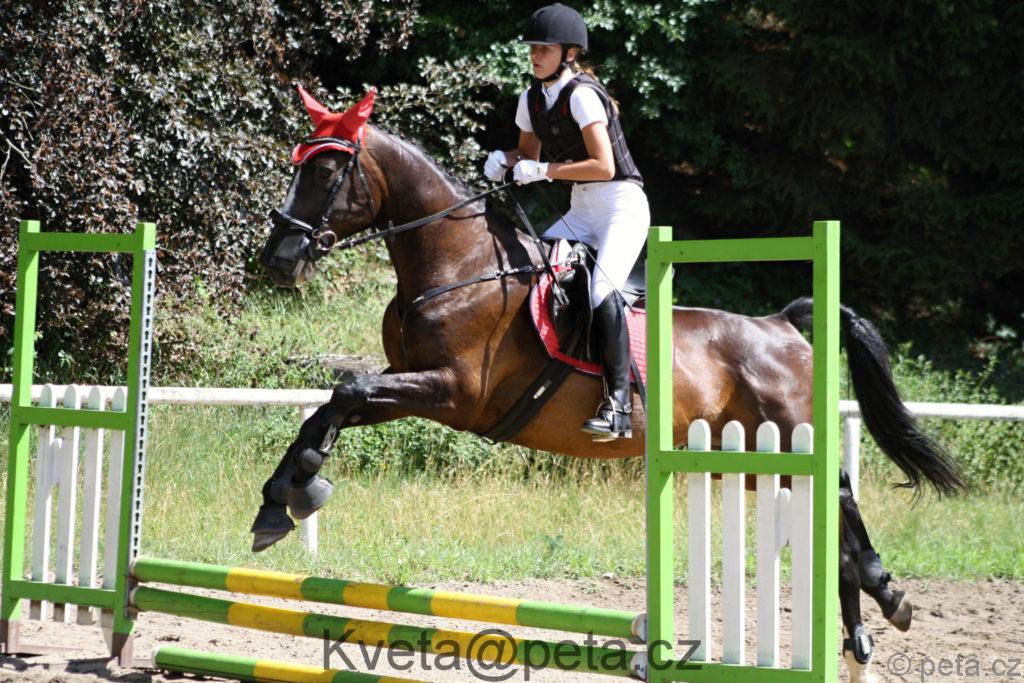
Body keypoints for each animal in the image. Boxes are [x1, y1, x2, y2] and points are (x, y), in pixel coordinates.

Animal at [256, 90, 963, 681]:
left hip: (787, 437)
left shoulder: (453, 393)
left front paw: (298, 490)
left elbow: (346, 393)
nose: (278, 261)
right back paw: (863, 627)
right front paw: (281, 501)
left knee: (839, 496)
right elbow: (331, 406)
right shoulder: (414, 389)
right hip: (747, 457)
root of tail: (782, 325)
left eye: (326, 172)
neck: (458, 264)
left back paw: (884, 594)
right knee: (828, 522)